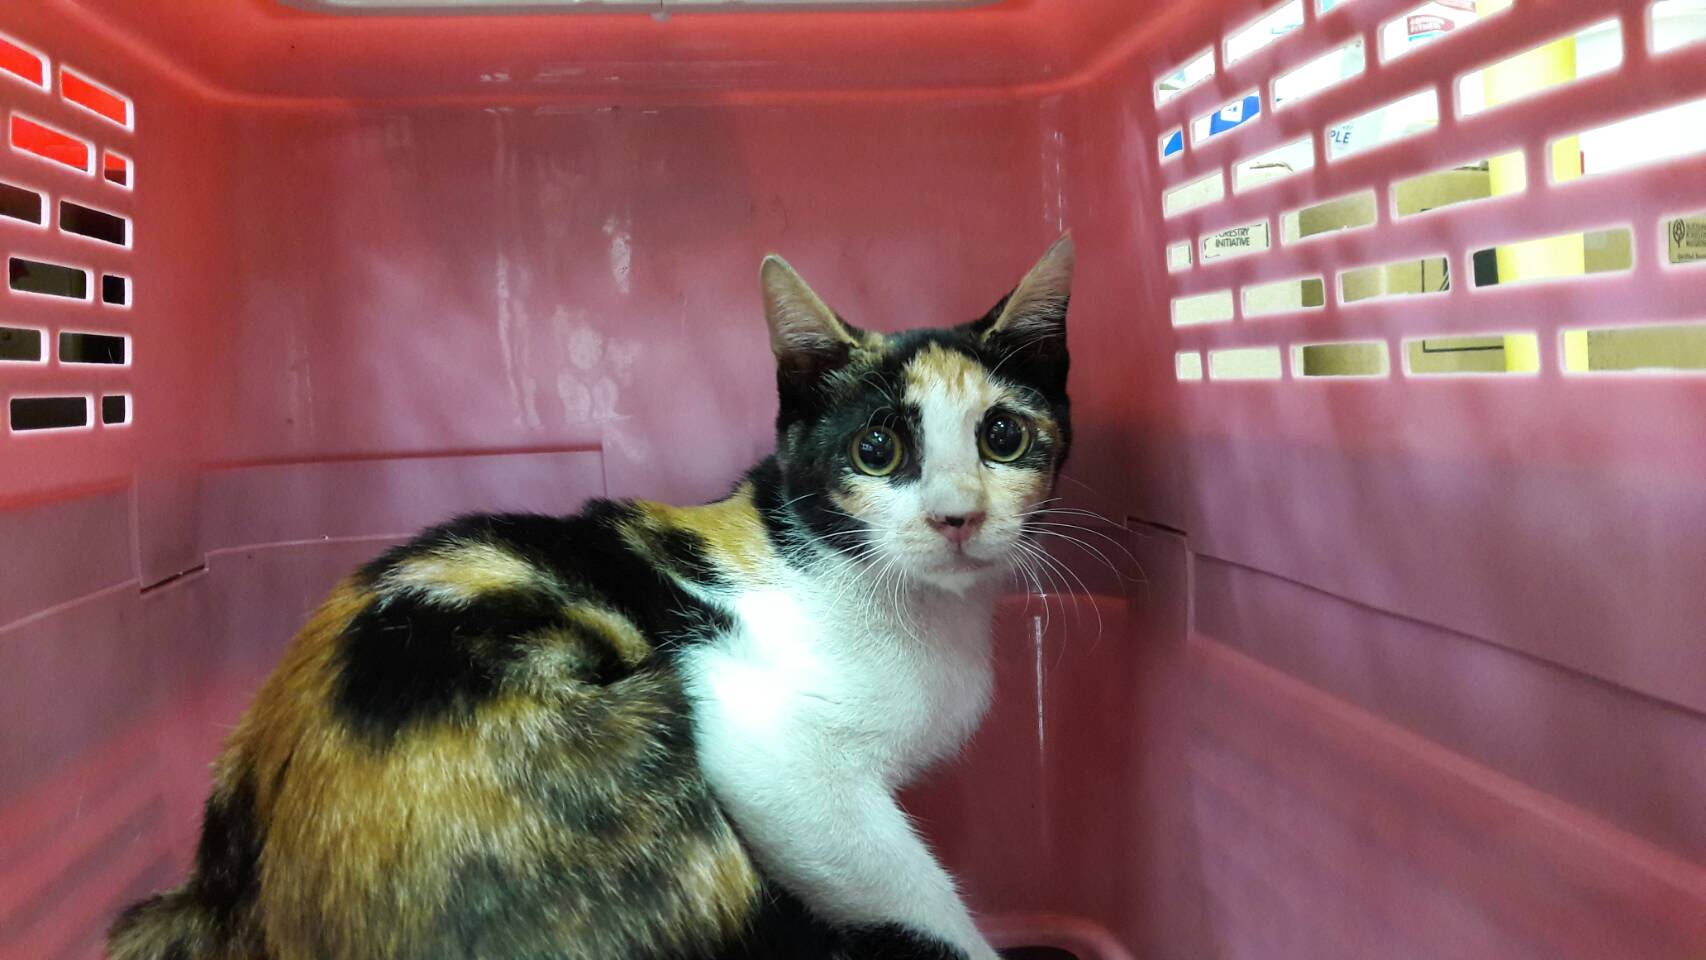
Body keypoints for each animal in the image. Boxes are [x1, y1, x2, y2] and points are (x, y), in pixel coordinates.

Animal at [107, 234, 1074, 960]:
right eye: (878, 449)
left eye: (1002, 435)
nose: (957, 516)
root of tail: (221, 910)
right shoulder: (760, 739)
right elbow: (909, 895)